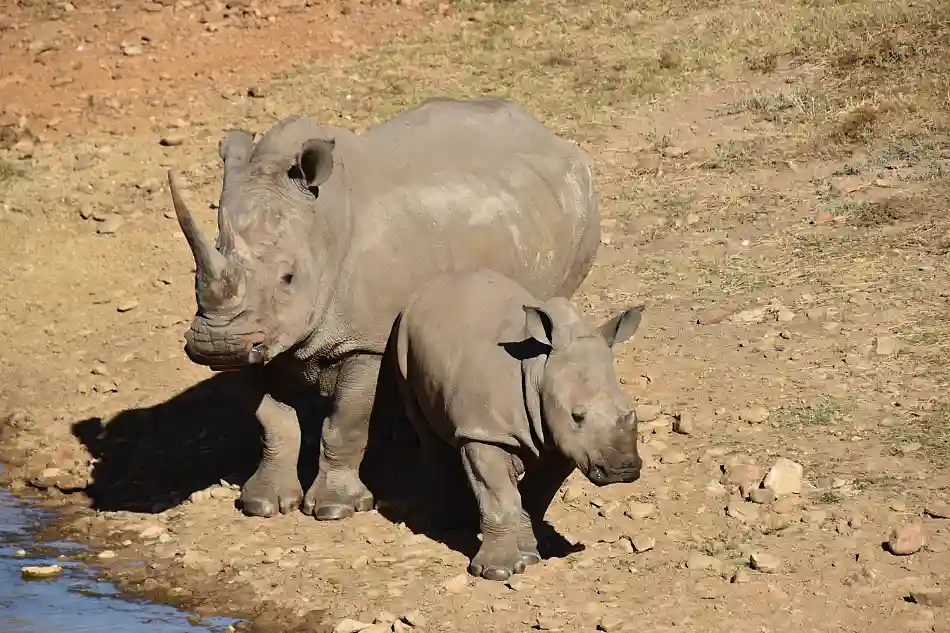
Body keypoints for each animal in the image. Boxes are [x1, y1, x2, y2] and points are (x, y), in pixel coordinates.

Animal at [166, 97, 602, 521]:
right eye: (199, 268)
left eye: (288, 278)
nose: (215, 344)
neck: (322, 226)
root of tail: (544, 132)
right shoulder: (259, 334)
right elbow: (273, 421)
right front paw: (262, 504)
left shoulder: (365, 340)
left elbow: (344, 421)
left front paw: (335, 509)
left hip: (578, 208)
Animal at [394, 268, 644, 581]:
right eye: (577, 416)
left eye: (631, 411)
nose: (624, 470)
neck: (540, 370)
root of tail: (432, 286)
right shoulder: (486, 432)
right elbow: (500, 498)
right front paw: (496, 571)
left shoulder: (565, 442)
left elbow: (535, 497)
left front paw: (530, 554)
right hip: (402, 336)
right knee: (426, 429)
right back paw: (450, 523)